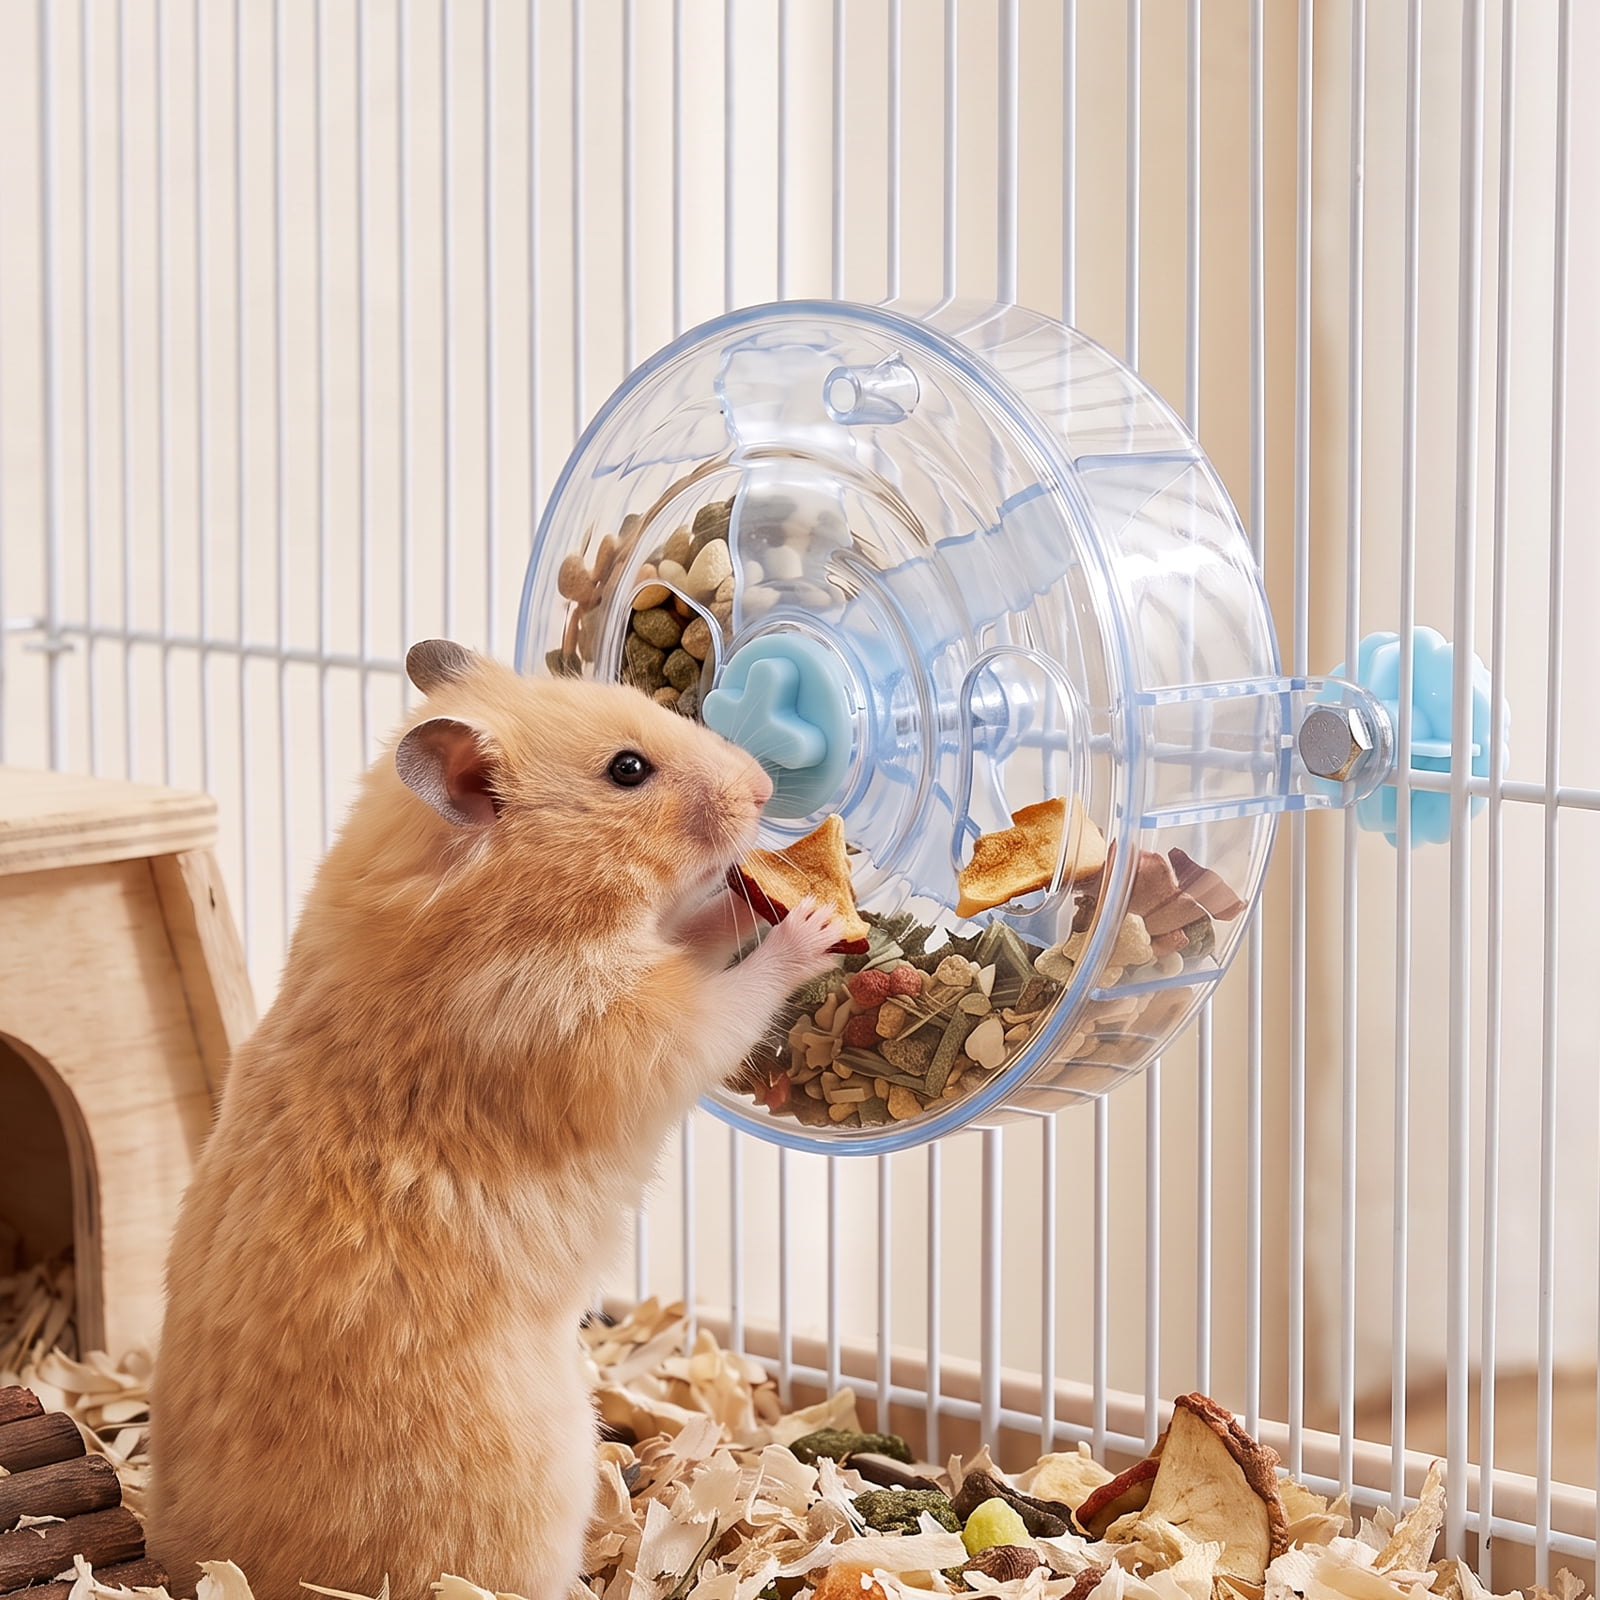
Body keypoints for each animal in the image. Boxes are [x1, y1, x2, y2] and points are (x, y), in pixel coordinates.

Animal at [147, 640, 844, 1600]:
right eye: (628, 771)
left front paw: (757, 892)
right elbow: (723, 1001)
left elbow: (701, 931)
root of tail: (203, 1569)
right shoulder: (604, 1026)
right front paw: (809, 923)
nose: (765, 790)